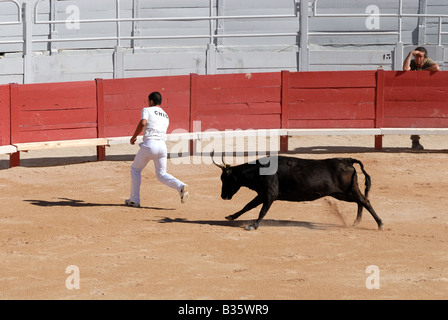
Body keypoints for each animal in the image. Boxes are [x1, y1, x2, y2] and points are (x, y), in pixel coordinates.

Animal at [212, 154, 384, 231]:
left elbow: (262, 211)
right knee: (361, 201)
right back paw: (357, 221)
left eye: (226, 179)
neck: (259, 170)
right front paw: (231, 216)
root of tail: (347, 160)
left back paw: (380, 224)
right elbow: (248, 206)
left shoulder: (270, 194)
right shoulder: (262, 194)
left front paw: (253, 226)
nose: (223, 196)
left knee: (365, 201)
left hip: (347, 192)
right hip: (343, 193)